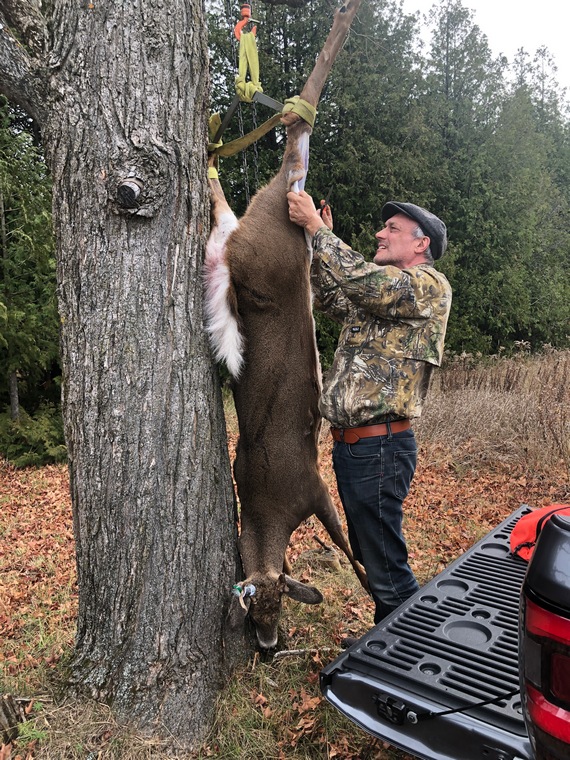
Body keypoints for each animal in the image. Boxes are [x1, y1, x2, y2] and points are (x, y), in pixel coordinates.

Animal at [204, 0, 367, 650]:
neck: (268, 507)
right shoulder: (300, 487)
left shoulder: (311, 486)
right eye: (258, 613)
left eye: (274, 608)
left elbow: (347, 543)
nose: (270, 647)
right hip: (262, 238)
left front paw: (368, 583)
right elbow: (346, 541)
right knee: (291, 145)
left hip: (256, 244)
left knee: (286, 147)